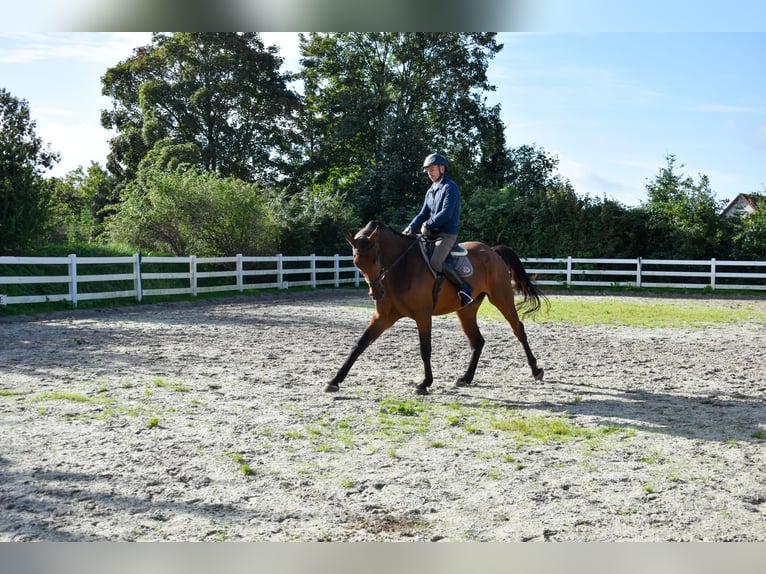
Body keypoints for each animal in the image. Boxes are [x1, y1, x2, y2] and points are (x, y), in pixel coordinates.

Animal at [324, 220, 547, 395]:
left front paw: (424, 383)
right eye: (356, 263)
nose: (376, 293)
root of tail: (492, 251)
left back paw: (536, 370)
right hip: (465, 310)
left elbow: (425, 349)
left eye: (376, 259)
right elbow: (359, 344)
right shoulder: (383, 317)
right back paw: (466, 378)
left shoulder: (423, 315)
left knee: (518, 329)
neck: (401, 268)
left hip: (502, 299)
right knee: (478, 341)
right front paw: (335, 381)